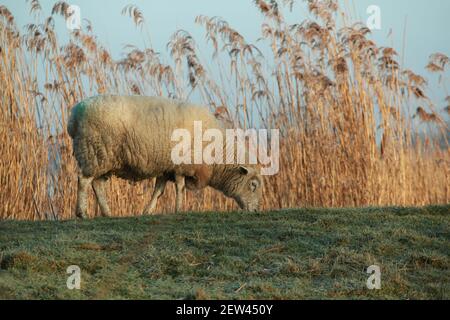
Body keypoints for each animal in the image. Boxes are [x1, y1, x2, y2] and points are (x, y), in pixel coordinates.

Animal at [67, 95, 264, 219]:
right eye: (253, 185)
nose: (256, 211)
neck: (217, 154)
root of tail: (74, 116)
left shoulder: (166, 168)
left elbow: (159, 191)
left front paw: (148, 211)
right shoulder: (181, 166)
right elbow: (180, 188)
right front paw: (179, 209)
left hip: (104, 158)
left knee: (97, 184)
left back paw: (107, 213)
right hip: (93, 151)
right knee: (83, 180)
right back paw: (82, 213)